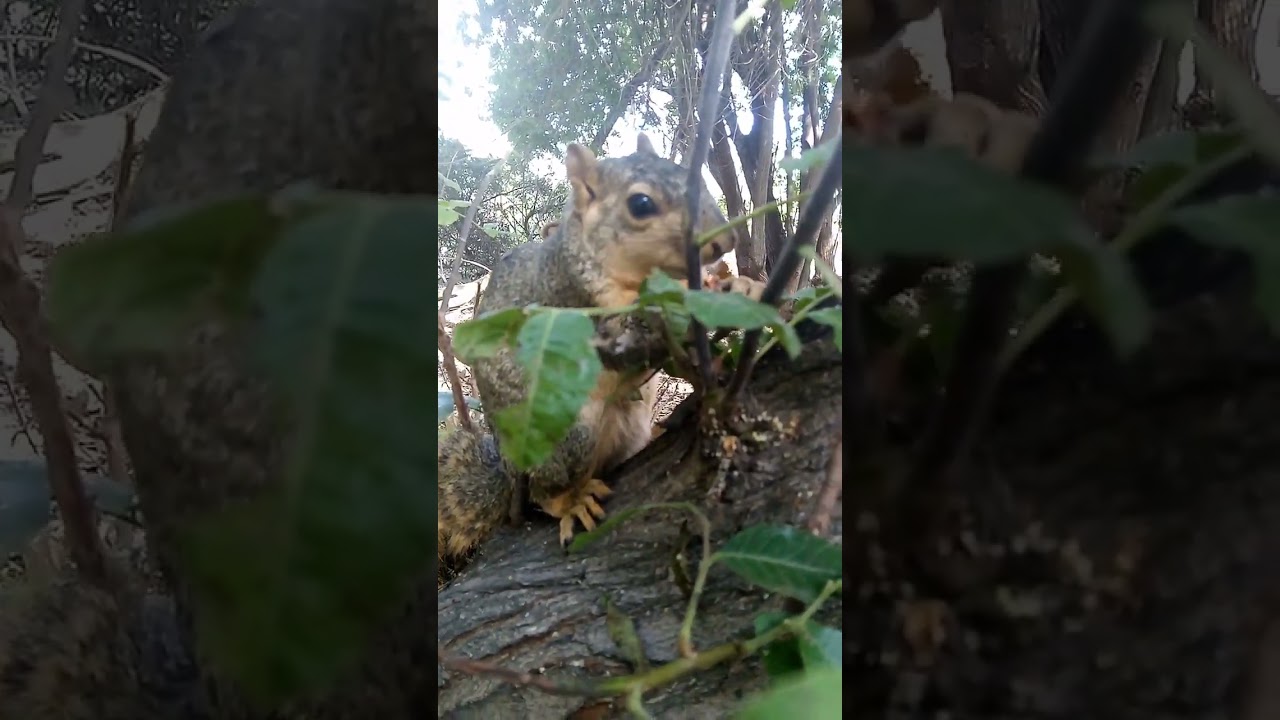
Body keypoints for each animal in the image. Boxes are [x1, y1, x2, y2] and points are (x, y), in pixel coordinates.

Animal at [437, 134, 765, 565]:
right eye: (640, 204)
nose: (726, 240)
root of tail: (511, 473)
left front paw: (741, 286)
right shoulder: (578, 307)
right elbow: (632, 339)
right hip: (567, 438)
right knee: (544, 492)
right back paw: (570, 501)